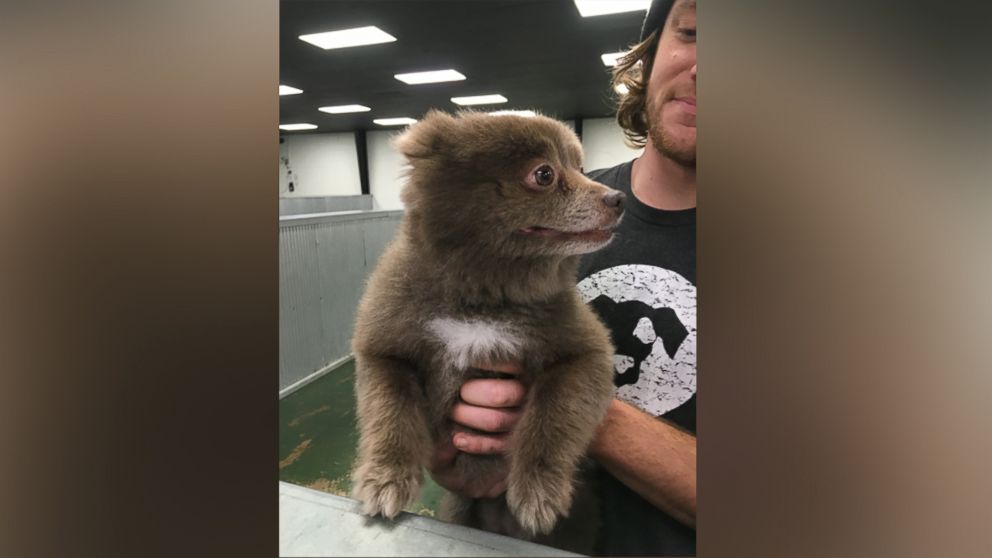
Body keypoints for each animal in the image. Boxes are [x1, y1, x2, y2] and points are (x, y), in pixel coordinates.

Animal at [352, 109, 624, 544]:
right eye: (544, 174)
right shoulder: (385, 344)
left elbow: (551, 416)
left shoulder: (584, 352)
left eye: (581, 168)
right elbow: (390, 411)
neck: (484, 298)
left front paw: (538, 489)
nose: (617, 199)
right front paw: (385, 478)